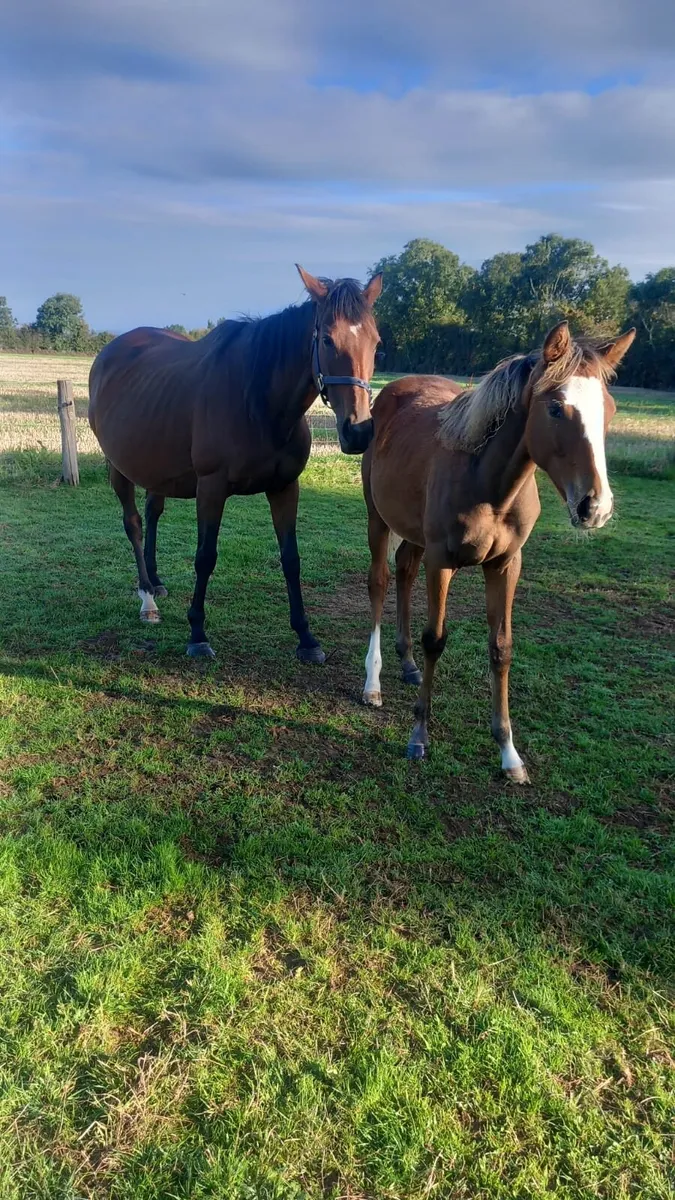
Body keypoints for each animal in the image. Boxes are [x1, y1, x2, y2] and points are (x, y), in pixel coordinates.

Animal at [89, 265, 382, 663]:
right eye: (327, 340)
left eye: (376, 342)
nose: (358, 431)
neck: (258, 403)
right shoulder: (211, 489)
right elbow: (205, 557)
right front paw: (197, 633)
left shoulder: (285, 487)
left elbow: (291, 559)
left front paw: (306, 638)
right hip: (119, 468)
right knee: (133, 524)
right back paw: (147, 597)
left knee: (152, 514)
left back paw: (157, 581)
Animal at [360, 321, 636, 782]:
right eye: (556, 408)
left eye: (610, 410)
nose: (594, 507)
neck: (489, 486)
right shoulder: (442, 562)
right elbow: (436, 639)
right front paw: (419, 736)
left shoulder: (507, 565)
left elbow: (501, 648)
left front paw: (509, 753)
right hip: (378, 519)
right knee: (379, 583)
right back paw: (373, 683)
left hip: (413, 533)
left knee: (404, 573)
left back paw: (407, 664)